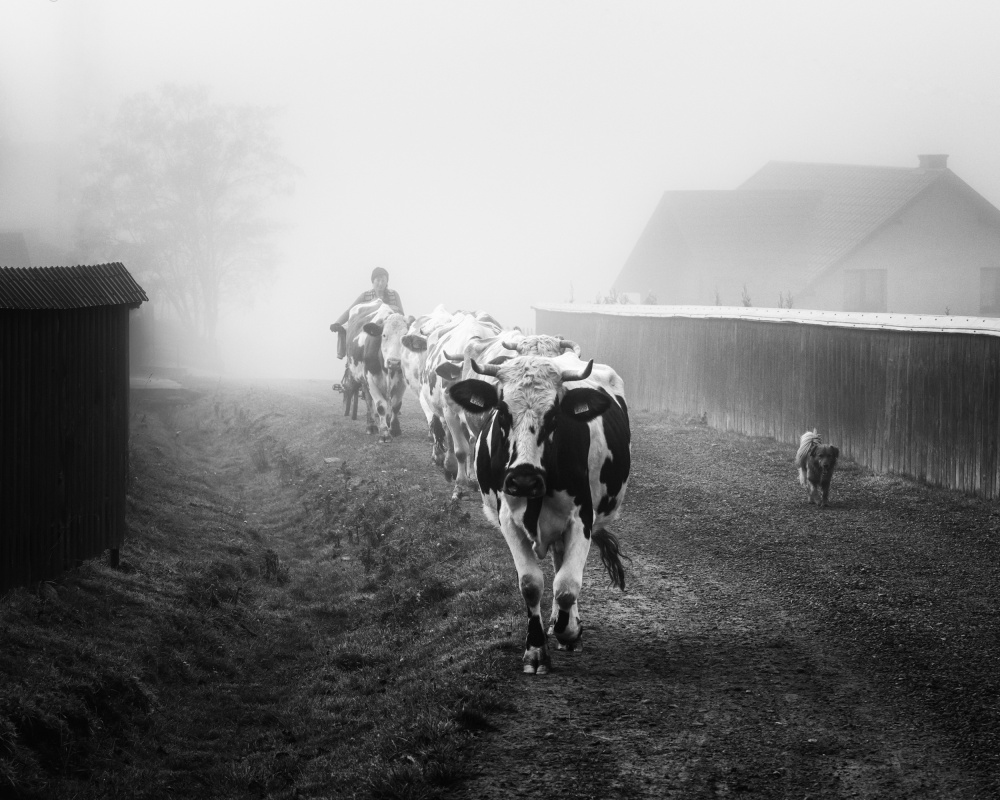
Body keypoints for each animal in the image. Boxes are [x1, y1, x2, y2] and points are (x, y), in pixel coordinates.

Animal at [448, 354, 628, 672]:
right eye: (502, 412)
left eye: (554, 415)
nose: (524, 480)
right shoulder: (508, 521)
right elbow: (531, 584)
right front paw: (535, 650)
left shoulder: (581, 520)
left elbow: (567, 586)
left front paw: (570, 631)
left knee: (562, 571)